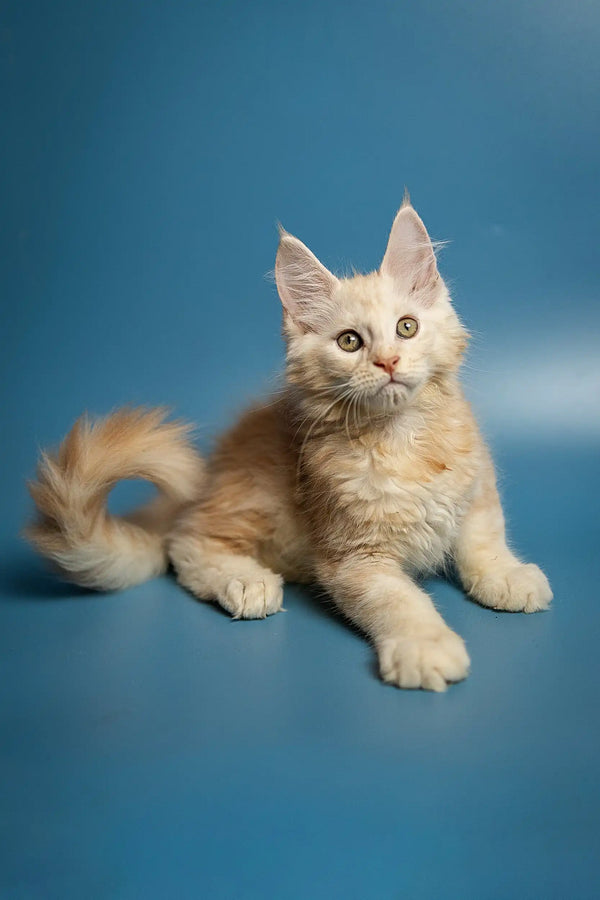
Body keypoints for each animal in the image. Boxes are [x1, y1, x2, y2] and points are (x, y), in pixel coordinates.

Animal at [28, 197, 552, 688]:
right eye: (349, 342)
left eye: (407, 327)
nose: (387, 362)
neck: (402, 440)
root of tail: (211, 475)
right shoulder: (353, 557)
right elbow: (399, 600)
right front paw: (425, 646)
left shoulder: (476, 490)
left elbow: (483, 540)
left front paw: (507, 576)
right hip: (258, 501)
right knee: (186, 542)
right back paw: (247, 581)